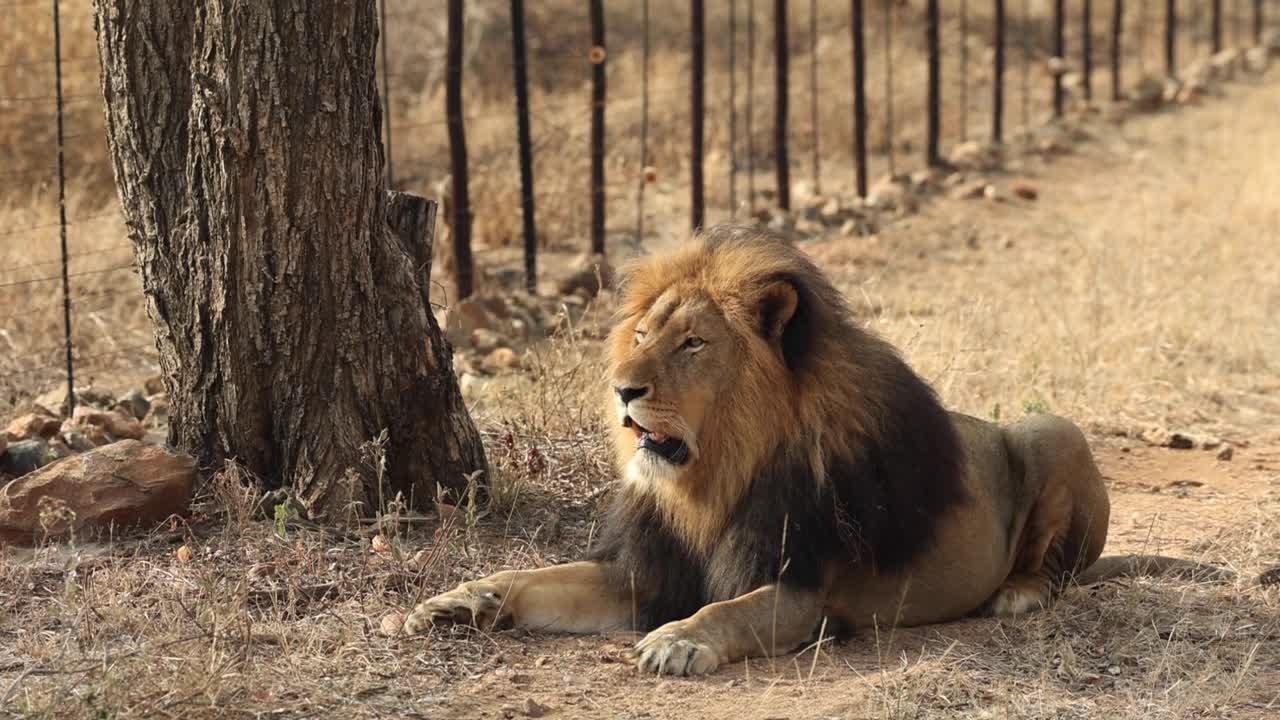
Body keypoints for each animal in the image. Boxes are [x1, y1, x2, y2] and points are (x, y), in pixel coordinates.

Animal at [405, 225, 1228, 675]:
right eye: (641, 333)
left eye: (694, 344)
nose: (622, 390)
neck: (714, 479)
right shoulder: (648, 571)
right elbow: (541, 575)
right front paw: (460, 599)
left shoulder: (802, 589)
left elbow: (728, 610)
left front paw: (677, 642)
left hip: (1048, 429)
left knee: (1060, 570)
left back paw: (1018, 592)